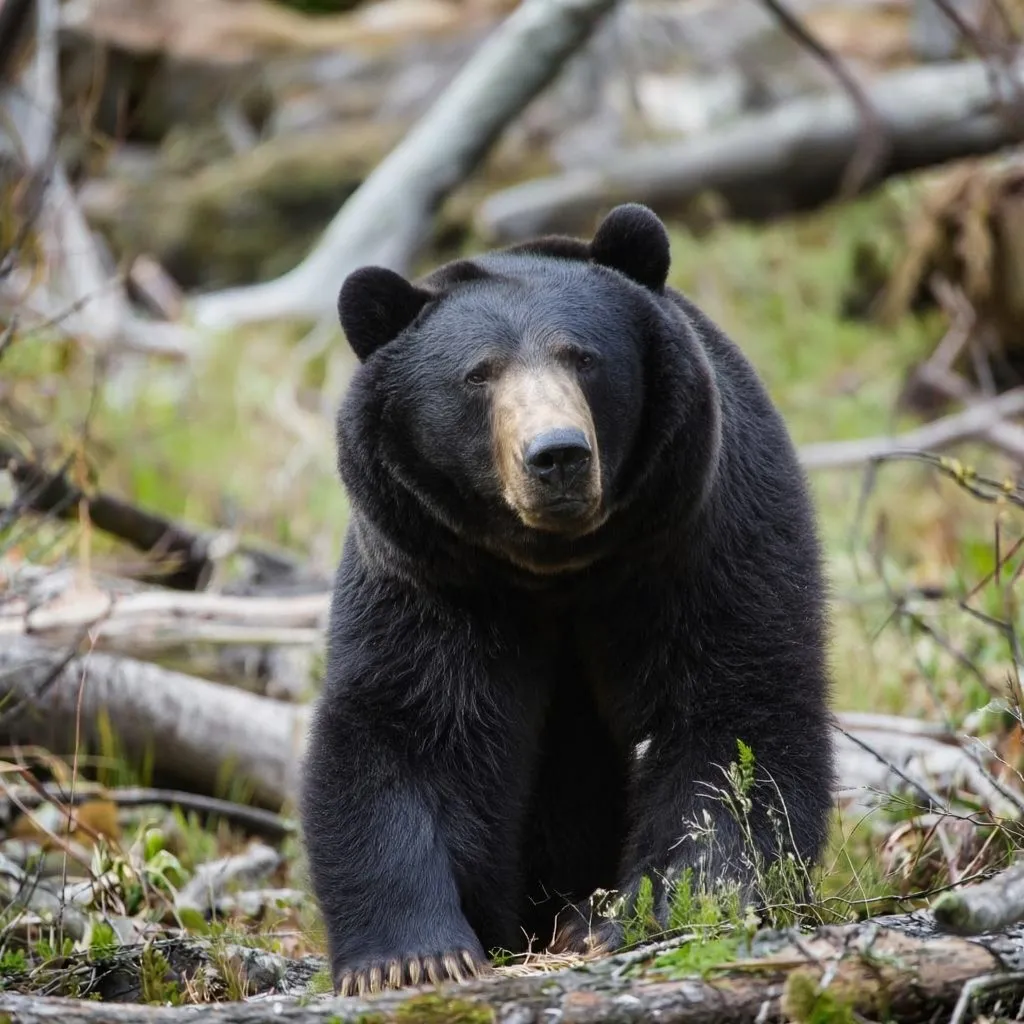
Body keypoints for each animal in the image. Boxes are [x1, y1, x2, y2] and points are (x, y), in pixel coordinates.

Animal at [300, 203, 835, 997]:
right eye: (478, 374)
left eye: (581, 357)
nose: (557, 454)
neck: (557, 568)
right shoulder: (432, 572)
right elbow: (411, 728)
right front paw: (413, 958)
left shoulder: (699, 537)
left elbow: (733, 718)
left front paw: (646, 911)